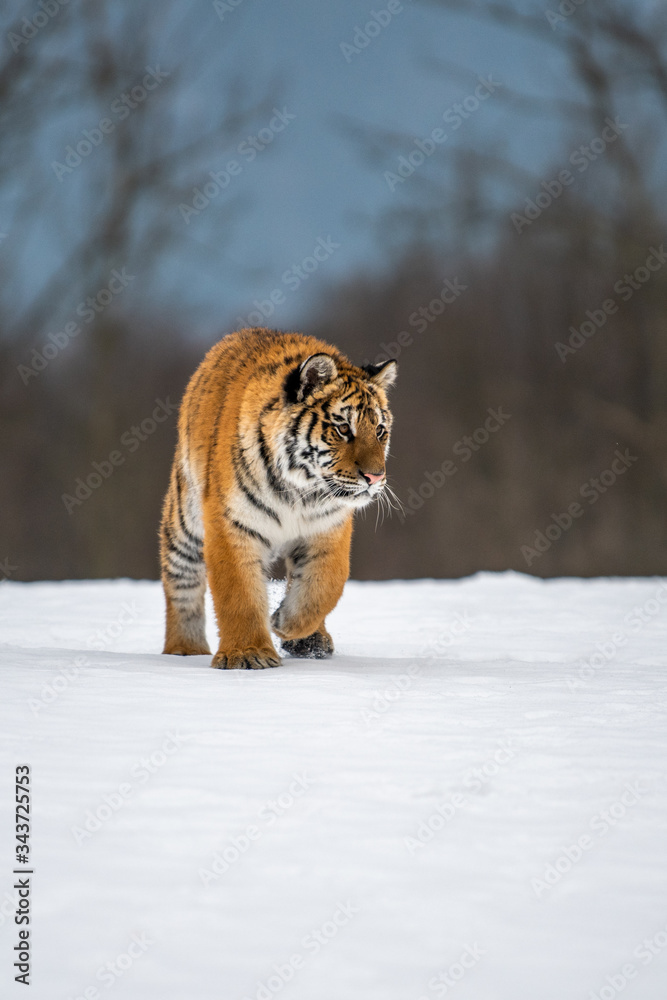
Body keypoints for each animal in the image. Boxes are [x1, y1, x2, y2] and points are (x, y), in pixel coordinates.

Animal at [159, 327, 397, 669]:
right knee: (181, 586)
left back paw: (313, 641)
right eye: (342, 428)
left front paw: (289, 626)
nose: (375, 477)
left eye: (379, 430)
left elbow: (326, 585)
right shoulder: (231, 525)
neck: (302, 490)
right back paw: (184, 651)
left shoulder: (327, 528)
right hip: (184, 523)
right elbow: (239, 594)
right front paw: (248, 654)